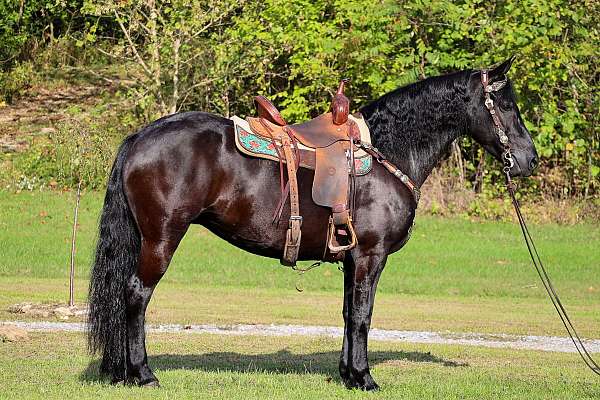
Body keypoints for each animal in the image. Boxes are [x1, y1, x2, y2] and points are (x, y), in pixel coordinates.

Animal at [86, 57, 536, 390]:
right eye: (507, 106)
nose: (529, 160)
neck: (387, 152)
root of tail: (140, 137)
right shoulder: (370, 256)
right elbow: (363, 315)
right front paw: (365, 378)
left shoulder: (352, 259)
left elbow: (348, 314)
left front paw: (347, 375)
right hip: (161, 239)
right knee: (136, 294)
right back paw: (142, 374)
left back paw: (120, 371)